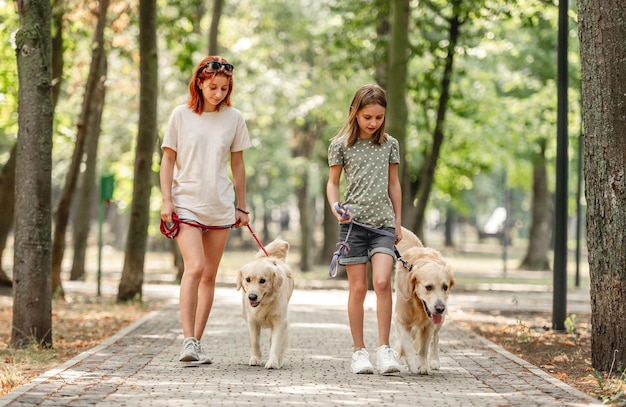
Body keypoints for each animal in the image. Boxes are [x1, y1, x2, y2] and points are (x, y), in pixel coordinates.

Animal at [235, 239, 294, 370]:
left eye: (263, 281)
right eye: (247, 279)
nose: (252, 297)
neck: (264, 303)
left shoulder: (279, 321)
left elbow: (276, 344)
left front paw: (273, 362)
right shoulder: (252, 320)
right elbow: (255, 342)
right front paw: (255, 359)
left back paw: (279, 360)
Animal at [392, 226, 450, 376]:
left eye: (445, 287)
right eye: (428, 287)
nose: (440, 308)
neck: (417, 303)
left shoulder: (428, 324)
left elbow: (424, 347)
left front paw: (423, 365)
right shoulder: (401, 317)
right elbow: (406, 342)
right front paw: (412, 362)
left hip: (441, 319)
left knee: (435, 337)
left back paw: (434, 361)